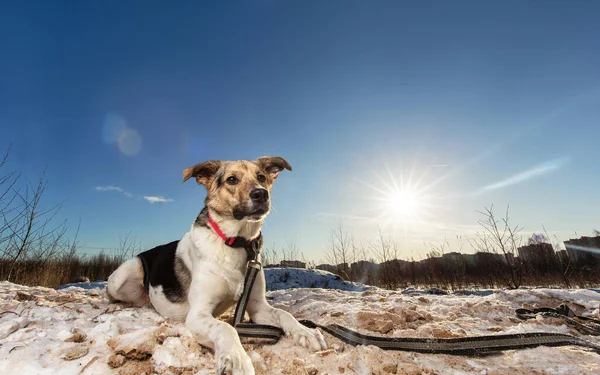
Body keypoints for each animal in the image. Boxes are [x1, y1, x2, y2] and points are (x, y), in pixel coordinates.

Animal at [105, 157, 326, 375]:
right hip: (125, 274)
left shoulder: (257, 307)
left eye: (261, 177)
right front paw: (237, 360)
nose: (261, 193)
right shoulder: (198, 314)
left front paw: (305, 331)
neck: (236, 242)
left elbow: (283, 313)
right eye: (231, 179)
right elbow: (226, 328)